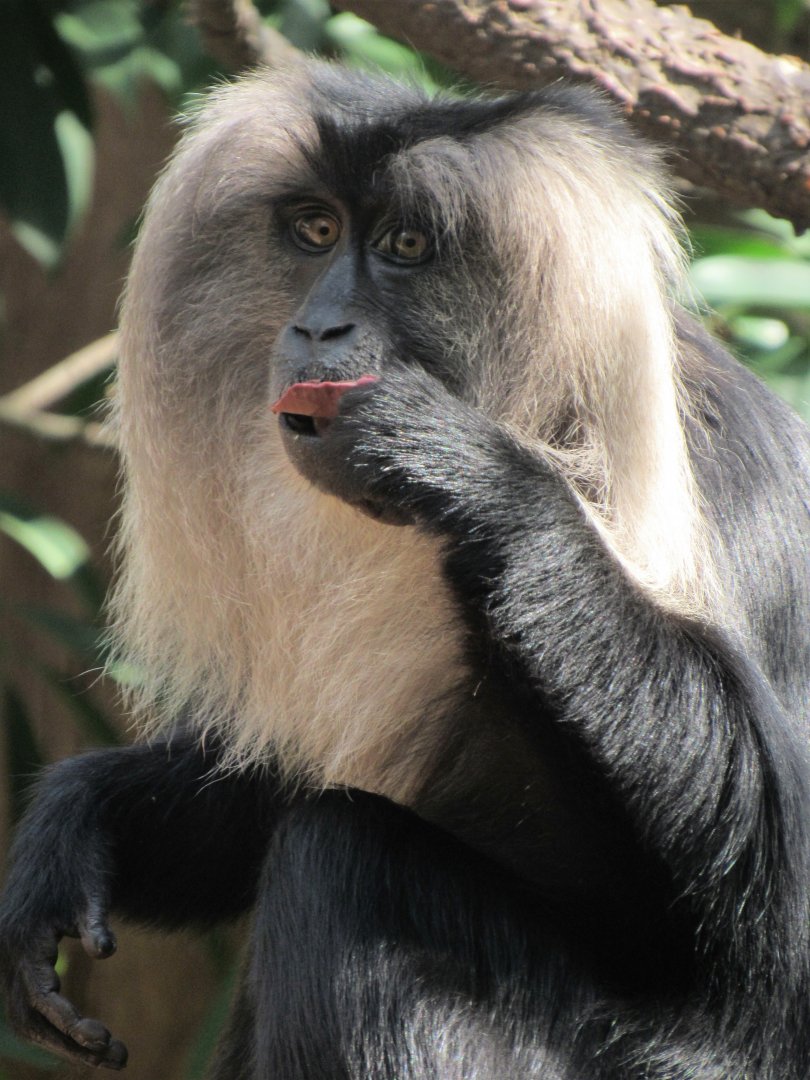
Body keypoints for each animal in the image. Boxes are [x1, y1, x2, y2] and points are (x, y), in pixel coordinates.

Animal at [1, 60, 809, 1079]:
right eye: (316, 231)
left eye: (406, 246)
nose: (317, 329)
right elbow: (263, 787)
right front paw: (75, 826)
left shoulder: (728, 494)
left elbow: (777, 946)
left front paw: (477, 476)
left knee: (341, 856)